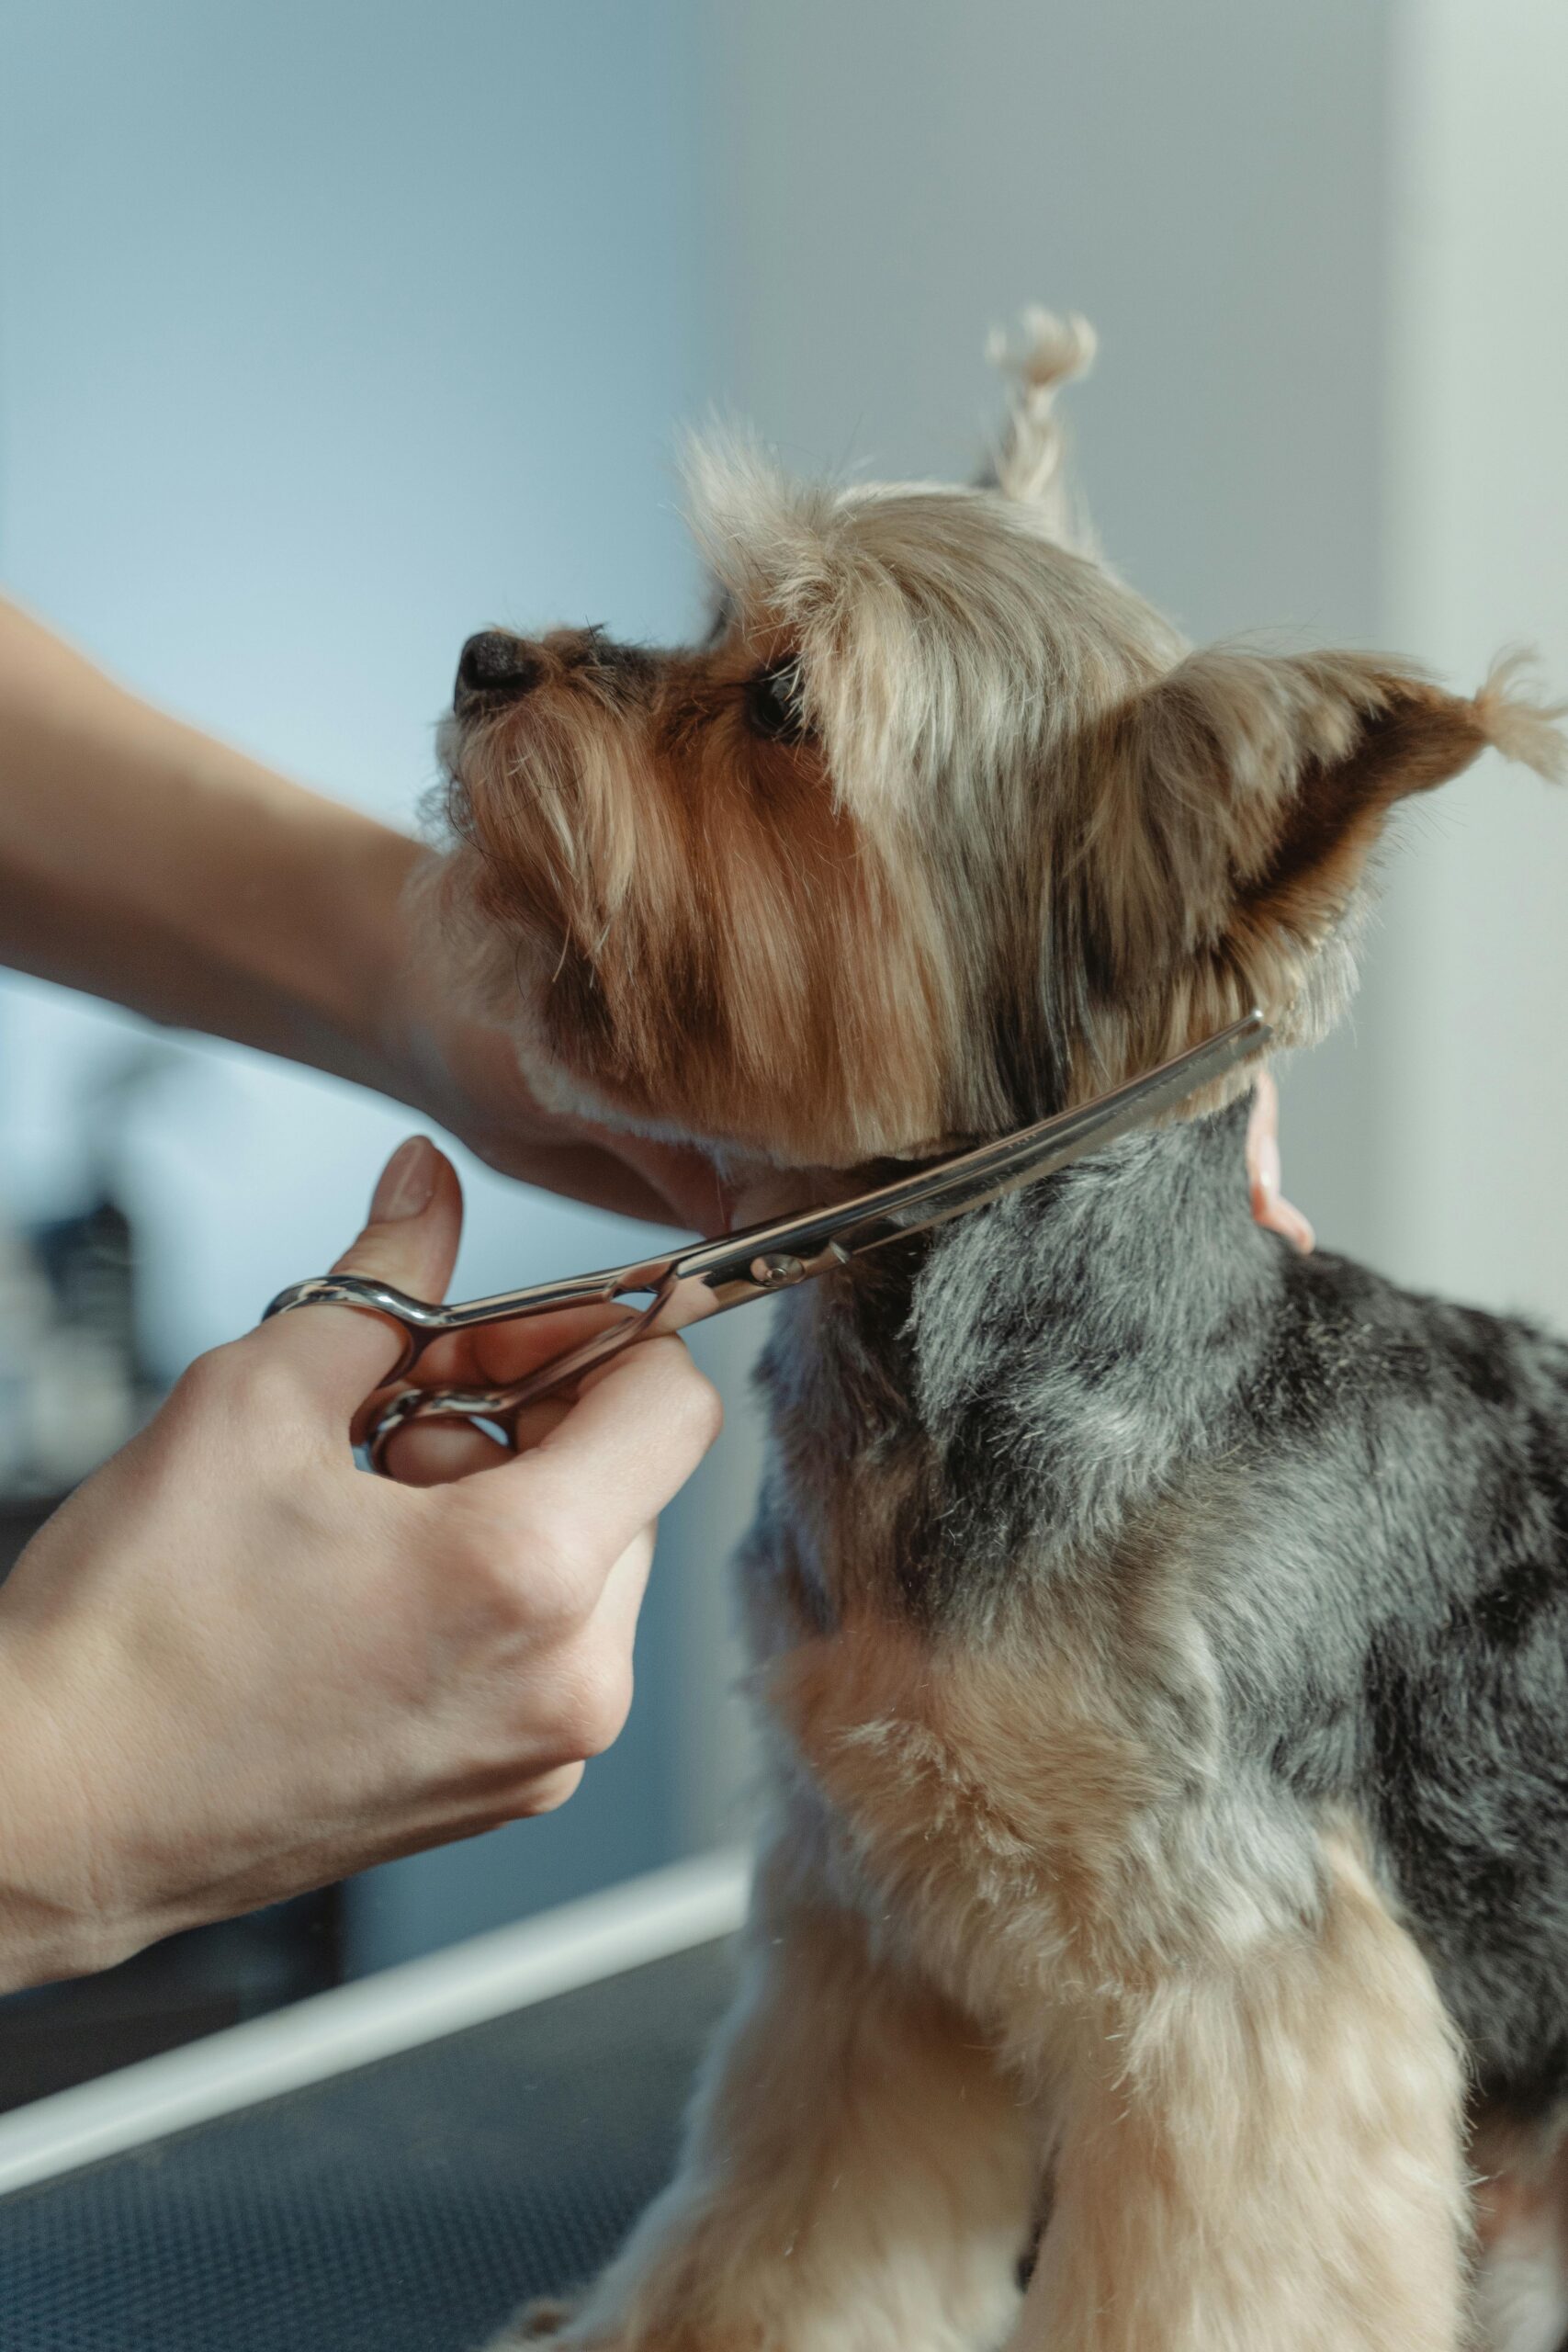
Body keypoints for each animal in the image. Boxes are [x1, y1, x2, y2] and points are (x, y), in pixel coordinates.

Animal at [430, 317, 1568, 2352]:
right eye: (709, 619)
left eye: (782, 700)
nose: (485, 655)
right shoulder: (867, 1925)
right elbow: (786, 2213)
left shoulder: (1239, 1983)